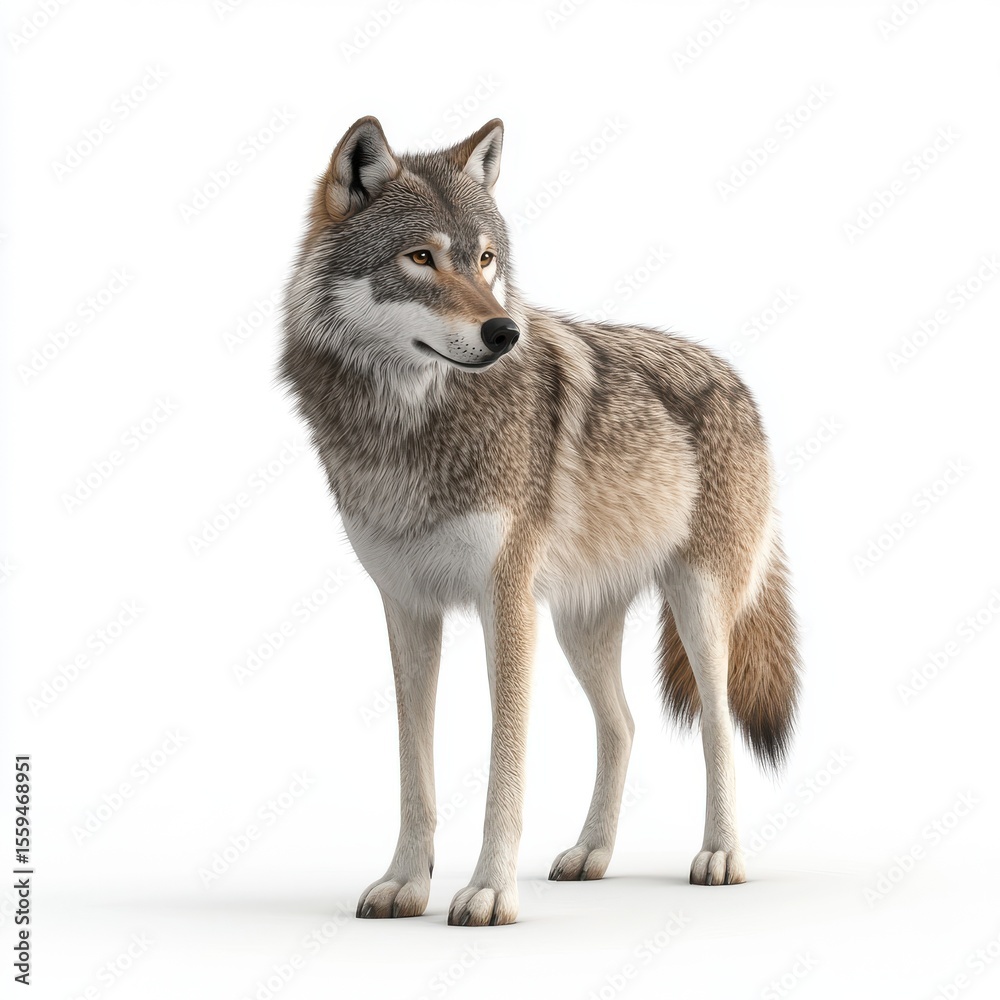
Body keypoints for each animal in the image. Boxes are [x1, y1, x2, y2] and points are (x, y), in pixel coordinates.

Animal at [279, 116, 800, 926]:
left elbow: (506, 766)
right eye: (421, 257)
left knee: (717, 730)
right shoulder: (407, 609)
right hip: (578, 627)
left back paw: (720, 857)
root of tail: (735, 377)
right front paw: (406, 883)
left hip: (698, 610)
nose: (503, 333)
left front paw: (490, 891)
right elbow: (413, 770)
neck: (410, 427)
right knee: (622, 725)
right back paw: (591, 855)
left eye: (485, 259)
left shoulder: (507, 605)